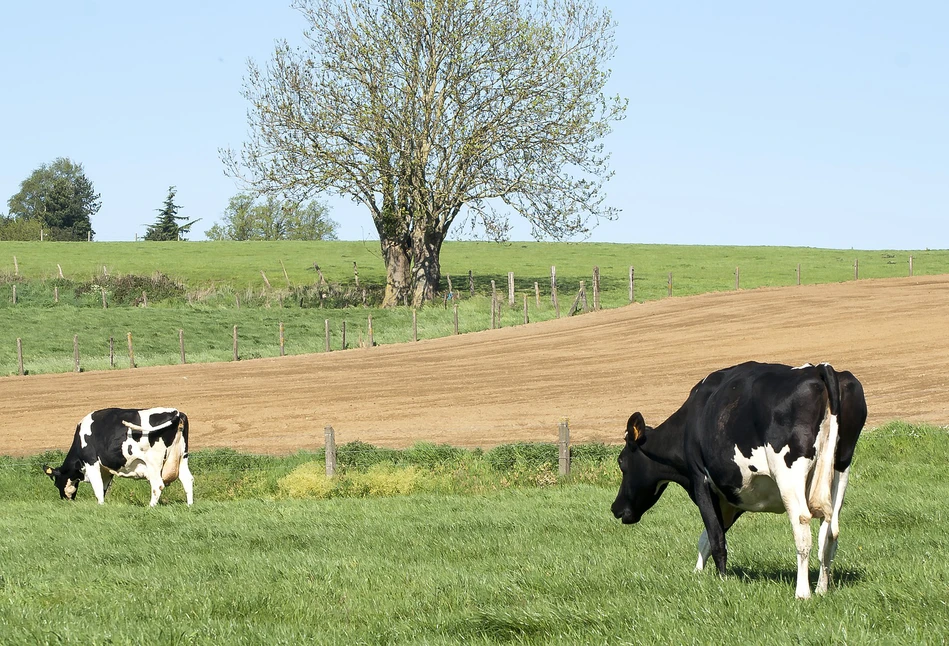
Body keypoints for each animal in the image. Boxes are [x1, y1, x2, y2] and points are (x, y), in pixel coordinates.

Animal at [42, 408, 193, 508]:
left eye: (56, 483)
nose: (64, 500)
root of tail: (176, 413)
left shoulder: (91, 462)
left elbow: (97, 486)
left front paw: (100, 505)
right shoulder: (105, 470)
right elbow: (103, 487)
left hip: (154, 463)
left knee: (158, 485)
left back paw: (150, 507)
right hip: (182, 457)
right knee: (187, 479)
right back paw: (189, 505)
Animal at [608, 362, 868, 600]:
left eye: (621, 462)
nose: (615, 508)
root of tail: (819, 369)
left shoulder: (701, 480)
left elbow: (715, 539)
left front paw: (721, 581)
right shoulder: (733, 496)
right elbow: (706, 538)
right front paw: (698, 574)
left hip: (789, 474)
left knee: (802, 526)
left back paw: (802, 593)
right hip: (840, 468)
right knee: (830, 531)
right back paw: (823, 589)